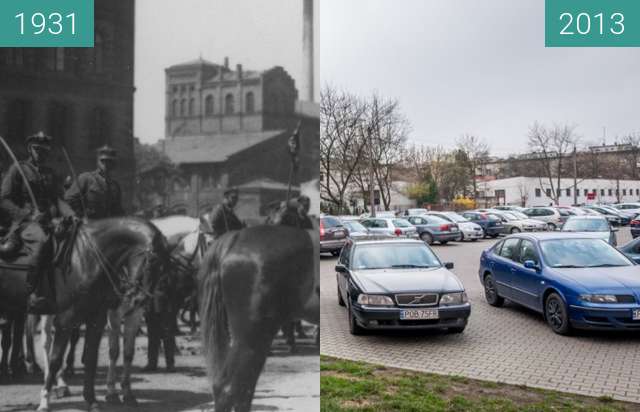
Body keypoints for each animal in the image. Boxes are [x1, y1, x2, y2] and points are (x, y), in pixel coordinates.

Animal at [0, 217, 168, 410]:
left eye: (165, 266)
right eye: (152, 261)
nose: (140, 299)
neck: (87, 259)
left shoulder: (99, 318)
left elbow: (96, 357)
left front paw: (94, 399)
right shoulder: (68, 319)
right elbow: (57, 358)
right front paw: (44, 401)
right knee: (44, 343)